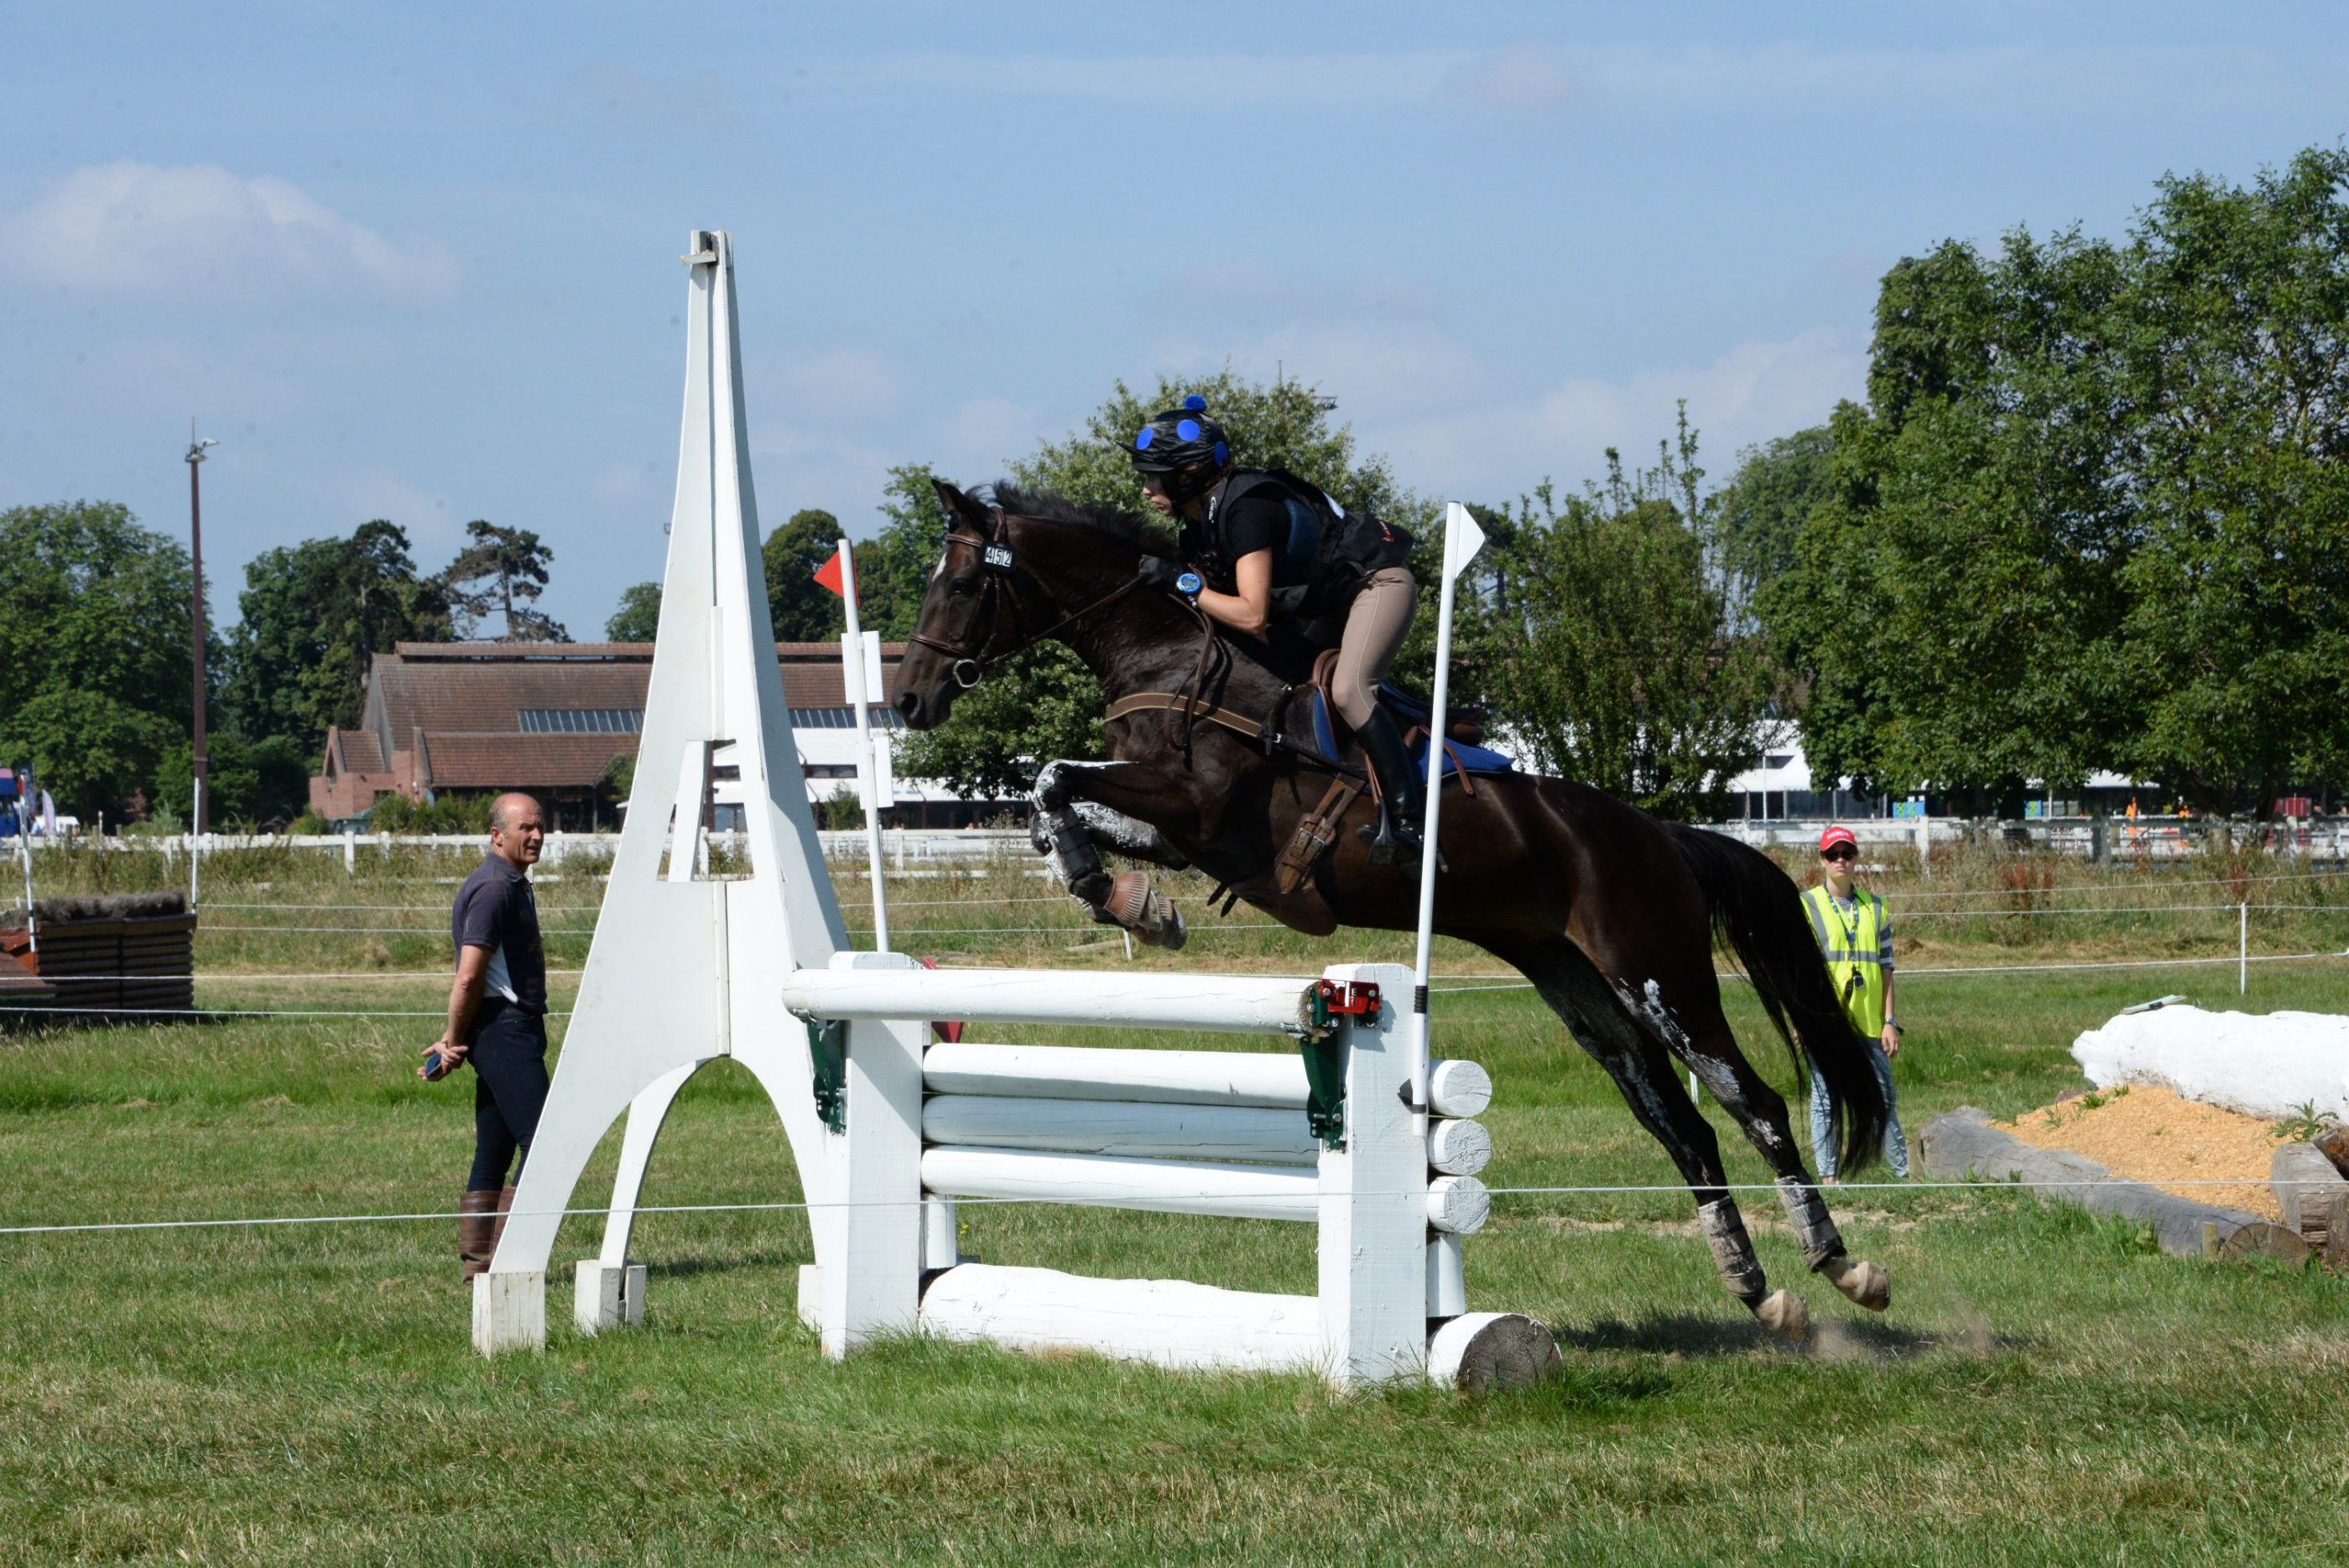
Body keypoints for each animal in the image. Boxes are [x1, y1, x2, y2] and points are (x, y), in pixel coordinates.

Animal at [888, 478, 1898, 1333]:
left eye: (965, 581)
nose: (907, 699)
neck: (1171, 656)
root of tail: (1661, 836)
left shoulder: (1200, 808)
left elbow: (1053, 777)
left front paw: (1120, 895)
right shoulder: (1185, 833)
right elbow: (1051, 801)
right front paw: (1129, 900)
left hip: (1656, 969)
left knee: (1753, 1103)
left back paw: (1845, 1268)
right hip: (1574, 982)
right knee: (1678, 1125)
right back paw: (1759, 1293)